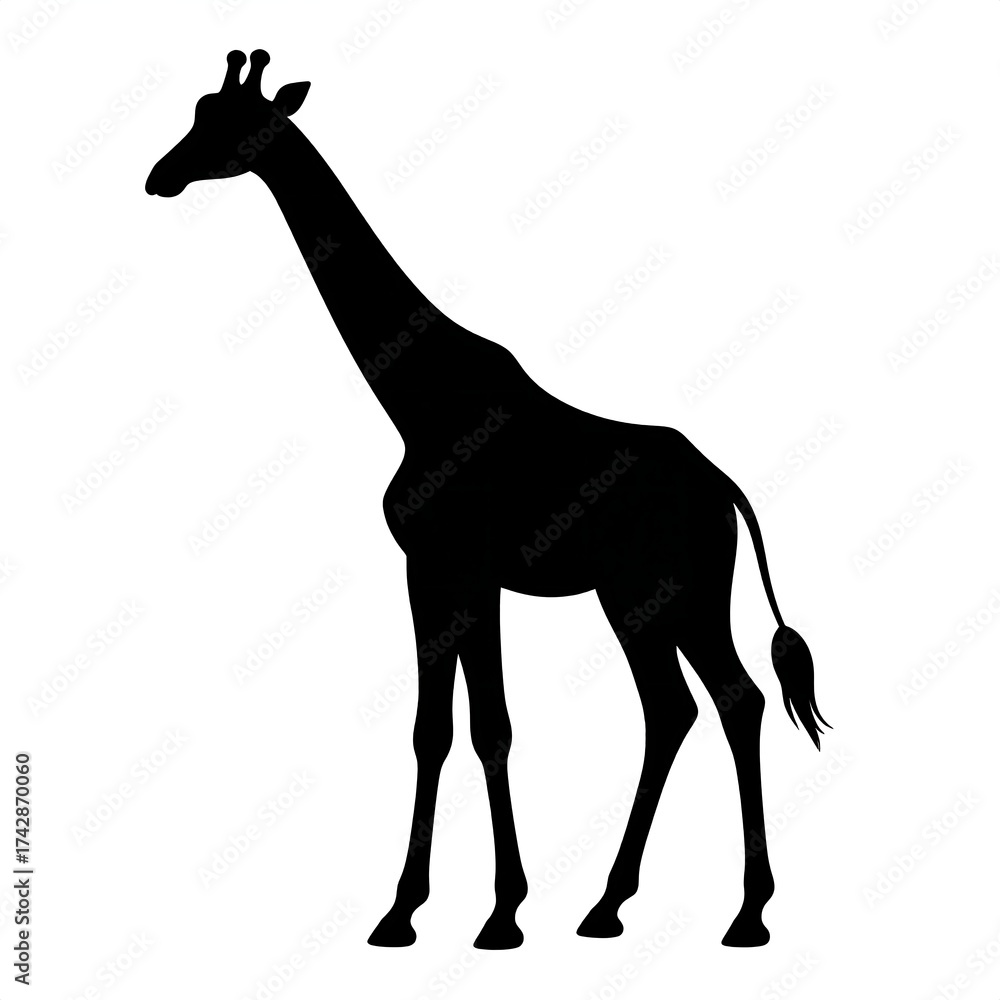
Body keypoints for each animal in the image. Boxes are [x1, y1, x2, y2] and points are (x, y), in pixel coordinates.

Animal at [146, 50, 829, 951]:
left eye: (232, 124)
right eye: (196, 113)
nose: (160, 176)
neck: (417, 399)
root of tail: (726, 488)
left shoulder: (448, 567)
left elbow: (468, 727)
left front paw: (475, 914)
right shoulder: (457, 578)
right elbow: (456, 730)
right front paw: (443, 909)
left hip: (659, 593)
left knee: (717, 701)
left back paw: (732, 913)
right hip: (655, 599)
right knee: (693, 706)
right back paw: (629, 906)